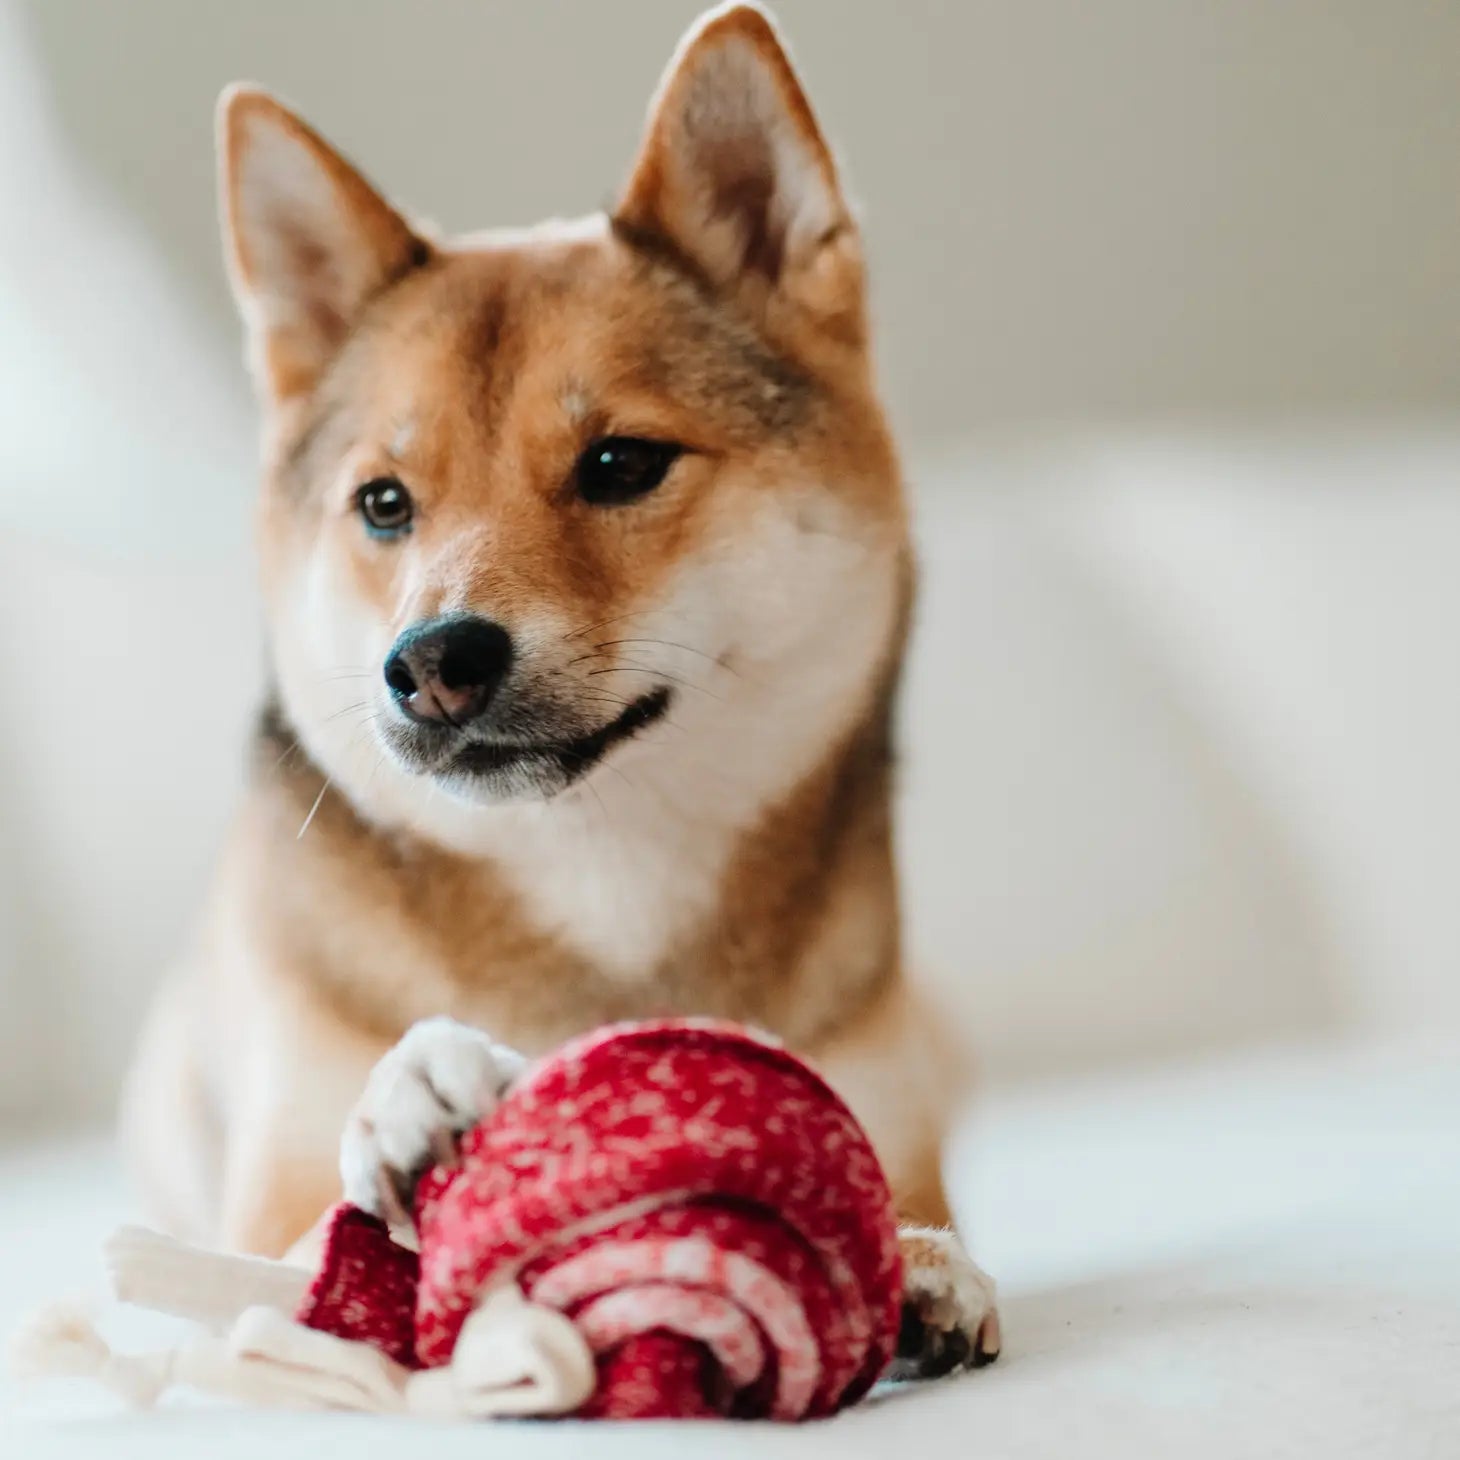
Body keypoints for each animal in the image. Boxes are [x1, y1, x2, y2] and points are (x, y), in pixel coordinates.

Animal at [125, 0, 998, 1372]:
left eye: (621, 463)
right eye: (384, 502)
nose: (431, 662)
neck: (601, 890)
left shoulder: (889, 1106)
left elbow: (897, 1193)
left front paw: (917, 1259)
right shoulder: (261, 1207)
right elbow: (292, 1269)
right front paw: (412, 1103)